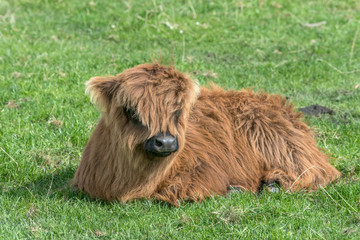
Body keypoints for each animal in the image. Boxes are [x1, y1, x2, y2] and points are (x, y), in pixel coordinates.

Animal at [72, 62, 340, 205]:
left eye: (178, 111)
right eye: (132, 111)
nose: (165, 142)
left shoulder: (206, 169)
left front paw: (235, 190)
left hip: (286, 147)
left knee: (317, 173)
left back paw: (273, 184)